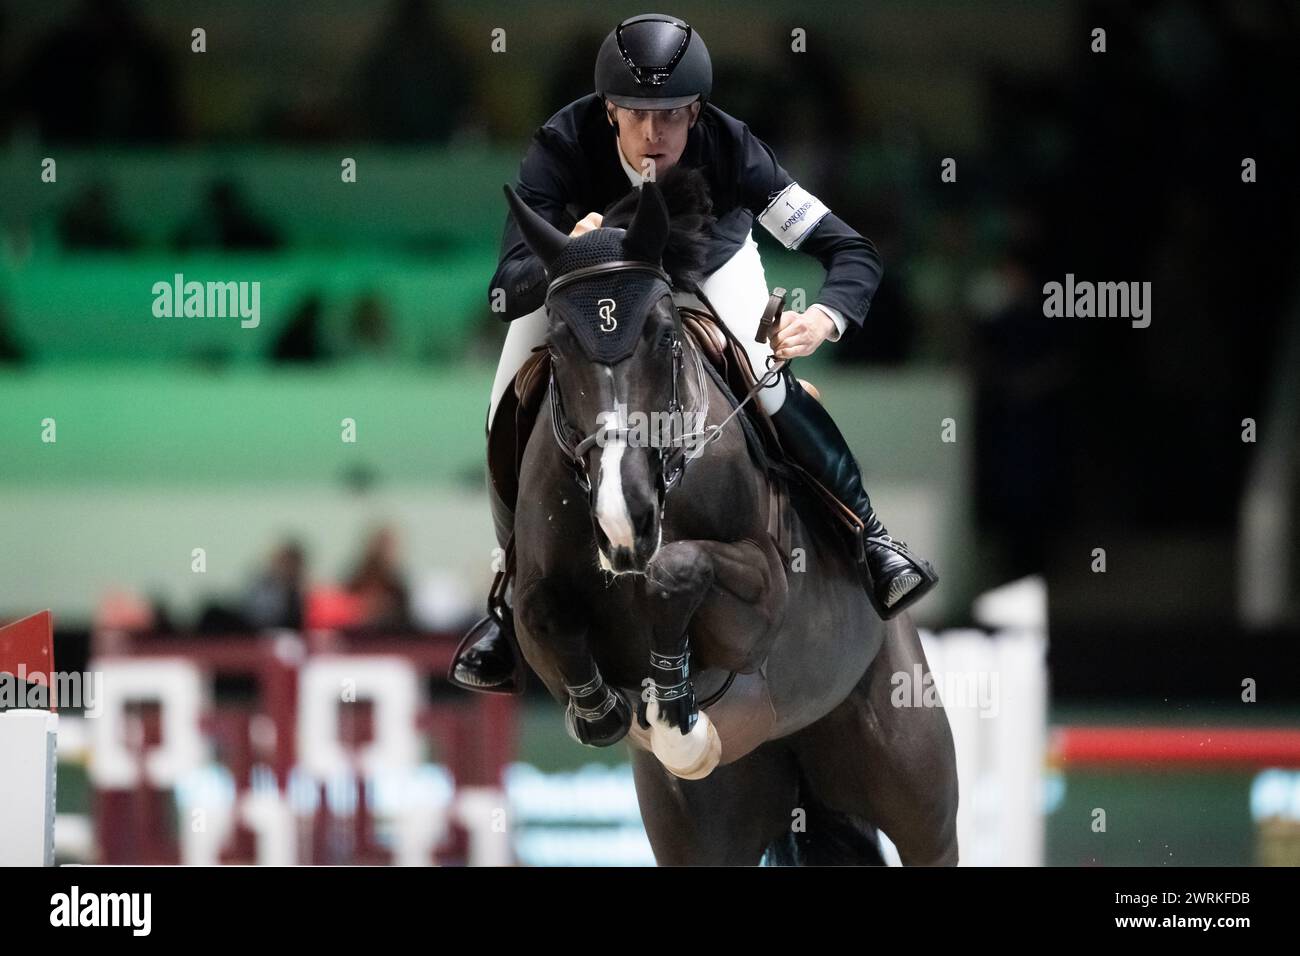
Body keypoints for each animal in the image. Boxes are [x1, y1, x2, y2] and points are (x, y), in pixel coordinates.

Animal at [501, 174, 961, 868]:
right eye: (555, 347)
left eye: (665, 336)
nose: (623, 521)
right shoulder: (538, 605)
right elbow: (540, 611)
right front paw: (607, 710)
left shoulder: (765, 593)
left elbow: (678, 567)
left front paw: (673, 711)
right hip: (708, 827)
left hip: (914, 779)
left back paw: (890, 568)